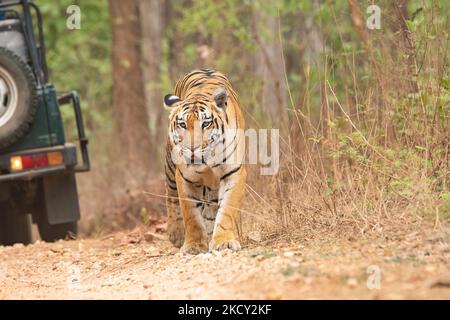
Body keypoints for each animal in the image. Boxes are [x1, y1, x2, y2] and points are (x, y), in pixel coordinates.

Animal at [163, 69, 246, 254]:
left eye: (206, 124)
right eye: (182, 124)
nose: (192, 148)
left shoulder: (233, 173)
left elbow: (227, 210)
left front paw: (224, 242)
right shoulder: (185, 178)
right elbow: (191, 215)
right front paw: (193, 246)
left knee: (211, 208)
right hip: (170, 168)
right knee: (171, 196)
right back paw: (176, 235)